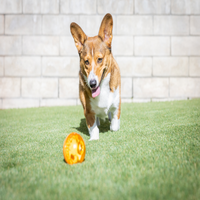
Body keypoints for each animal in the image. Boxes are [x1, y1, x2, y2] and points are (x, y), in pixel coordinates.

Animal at [70, 13, 120, 141]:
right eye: (86, 61)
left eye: (100, 59)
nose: (92, 84)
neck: (101, 88)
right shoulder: (88, 111)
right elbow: (93, 128)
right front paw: (94, 138)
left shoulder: (117, 104)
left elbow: (114, 125)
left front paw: (112, 125)